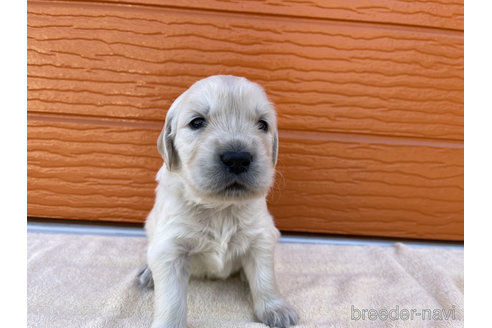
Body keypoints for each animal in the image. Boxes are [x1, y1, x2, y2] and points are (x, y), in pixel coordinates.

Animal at [139, 75, 300, 328]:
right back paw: (147, 273)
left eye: (262, 124)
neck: (220, 207)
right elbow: (172, 299)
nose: (237, 158)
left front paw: (276, 309)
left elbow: (265, 278)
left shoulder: (262, 237)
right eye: (197, 122)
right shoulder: (169, 248)